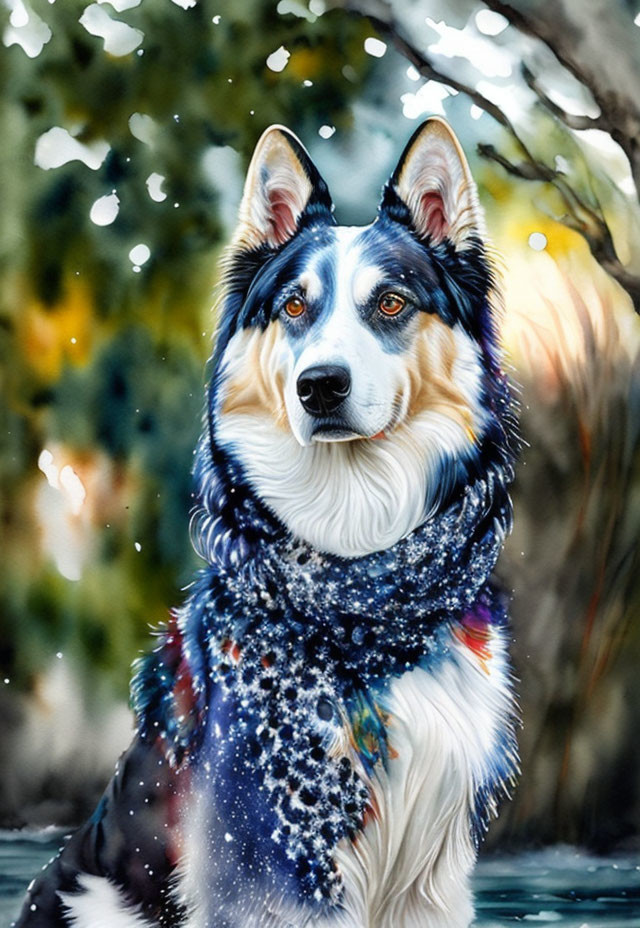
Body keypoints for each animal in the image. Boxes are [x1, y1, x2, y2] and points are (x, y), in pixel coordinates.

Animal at [17, 118, 520, 928]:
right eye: (292, 307)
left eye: (391, 304)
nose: (321, 386)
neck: (357, 589)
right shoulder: (262, 863)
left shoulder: (430, 870)